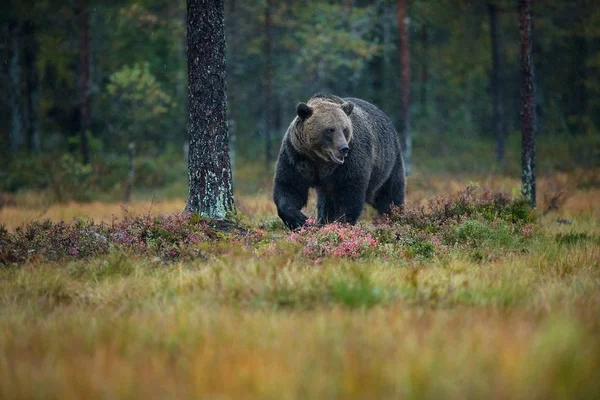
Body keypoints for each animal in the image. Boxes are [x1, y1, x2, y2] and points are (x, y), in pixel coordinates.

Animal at [274, 94, 406, 230]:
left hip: (388, 163)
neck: (319, 158)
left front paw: (340, 222)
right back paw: (322, 220)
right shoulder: (296, 155)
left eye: (345, 129)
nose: (343, 148)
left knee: (389, 195)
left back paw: (394, 216)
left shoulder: (350, 161)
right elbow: (290, 186)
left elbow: (348, 193)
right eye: (330, 129)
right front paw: (300, 220)